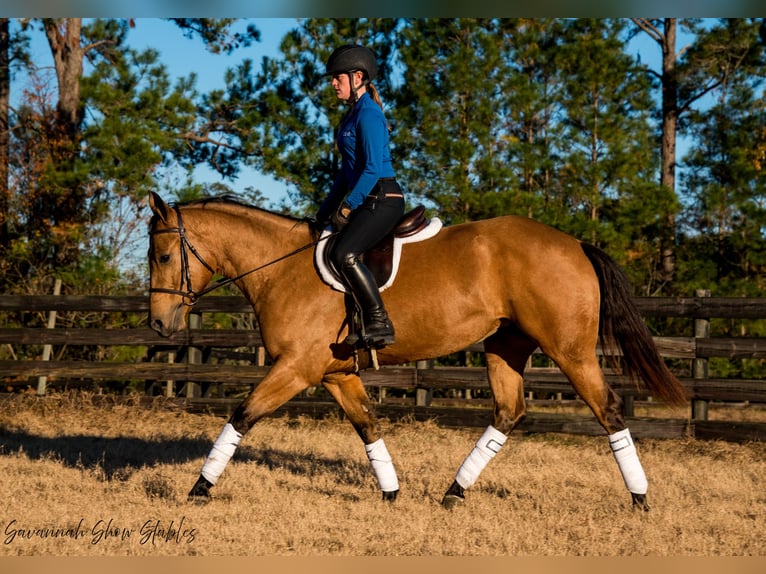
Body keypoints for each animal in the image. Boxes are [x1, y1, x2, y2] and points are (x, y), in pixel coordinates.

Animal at [147, 194, 688, 512]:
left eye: (164, 255)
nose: (157, 323)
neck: (282, 267)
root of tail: (574, 243)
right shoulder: (335, 374)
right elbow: (368, 426)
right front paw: (390, 493)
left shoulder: (296, 369)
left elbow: (242, 415)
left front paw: (198, 488)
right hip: (505, 346)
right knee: (508, 412)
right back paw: (453, 493)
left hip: (570, 351)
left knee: (607, 410)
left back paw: (640, 499)